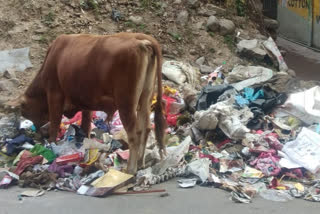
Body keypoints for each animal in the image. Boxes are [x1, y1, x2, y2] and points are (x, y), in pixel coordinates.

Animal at [13, 33, 166, 174]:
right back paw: (140, 163)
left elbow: (55, 123)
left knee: (134, 133)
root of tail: (140, 39)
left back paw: (131, 169)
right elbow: (86, 124)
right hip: (145, 98)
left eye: (25, 113)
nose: (38, 134)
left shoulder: (54, 95)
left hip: (126, 103)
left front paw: (51, 143)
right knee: (146, 128)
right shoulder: (86, 102)